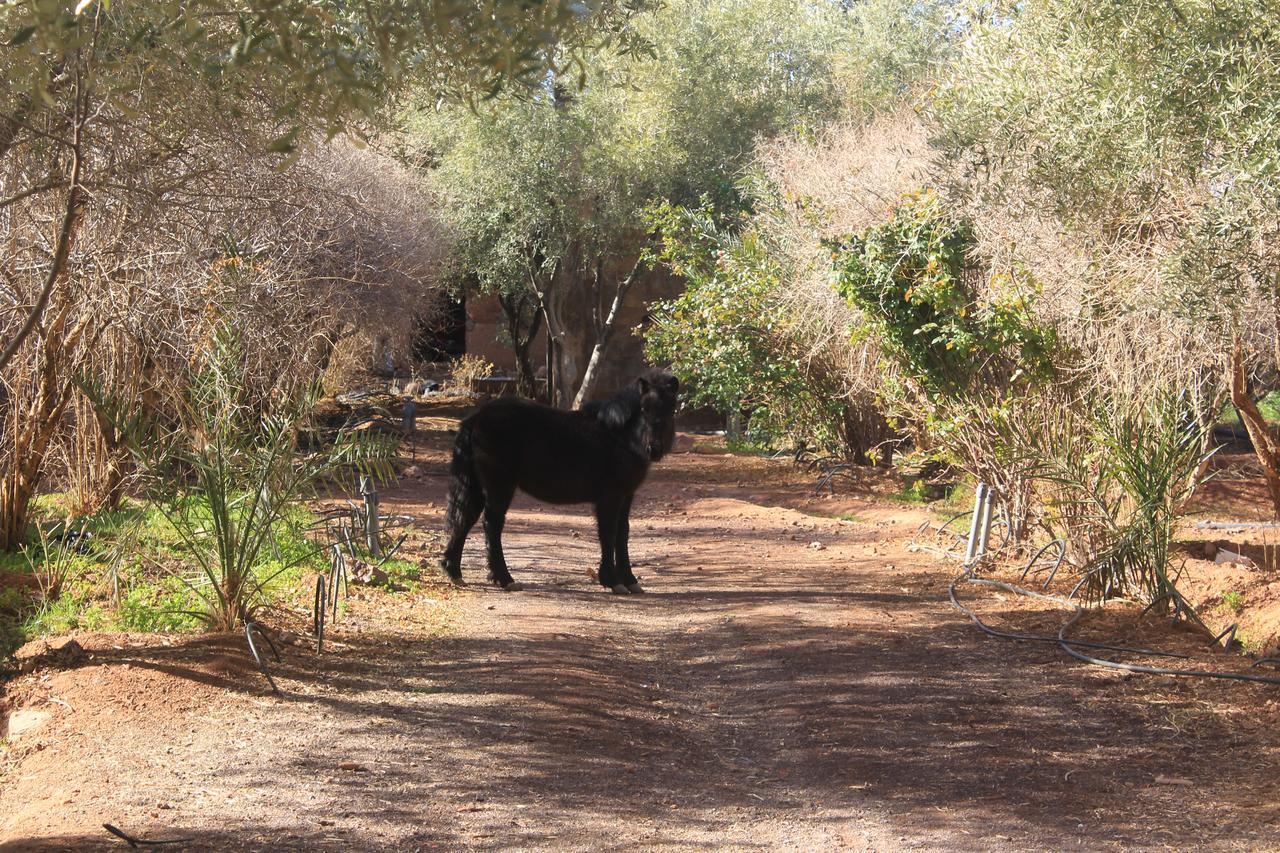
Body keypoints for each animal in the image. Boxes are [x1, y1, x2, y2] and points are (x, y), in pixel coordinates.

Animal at [440, 368, 680, 594]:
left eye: (669, 409)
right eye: (643, 409)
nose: (653, 448)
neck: (618, 436)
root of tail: (477, 417)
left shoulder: (626, 496)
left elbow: (622, 535)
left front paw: (629, 580)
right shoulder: (610, 498)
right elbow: (609, 533)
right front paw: (612, 581)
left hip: (477, 487)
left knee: (464, 519)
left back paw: (454, 571)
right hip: (499, 487)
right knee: (491, 524)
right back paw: (504, 578)